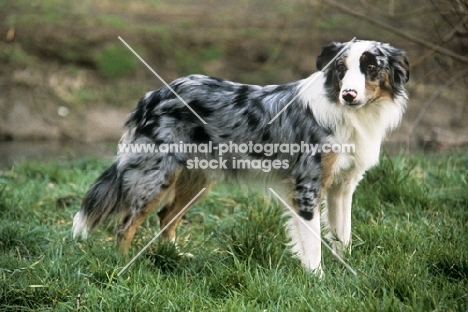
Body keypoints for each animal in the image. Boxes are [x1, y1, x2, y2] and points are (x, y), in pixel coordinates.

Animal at [73, 40, 410, 274]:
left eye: (371, 68)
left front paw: (345, 273)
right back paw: (124, 267)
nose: (348, 95)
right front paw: (317, 280)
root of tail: (153, 94)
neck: (348, 114)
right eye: (341, 69)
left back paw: (175, 257)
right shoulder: (307, 186)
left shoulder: (343, 188)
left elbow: (343, 236)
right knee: (125, 226)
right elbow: (313, 243)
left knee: (166, 216)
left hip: (198, 181)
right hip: (156, 177)